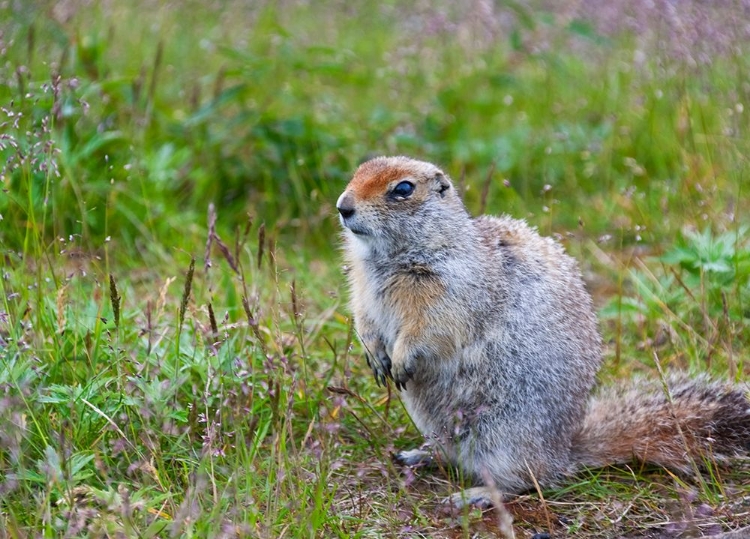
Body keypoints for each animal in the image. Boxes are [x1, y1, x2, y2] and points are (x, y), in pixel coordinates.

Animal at [338, 155, 750, 506]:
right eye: (357, 171)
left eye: (403, 189)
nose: (343, 207)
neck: (388, 259)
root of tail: (565, 451)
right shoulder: (362, 289)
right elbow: (364, 319)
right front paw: (375, 356)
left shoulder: (451, 288)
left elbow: (430, 327)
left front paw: (401, 358)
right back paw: (417, 455)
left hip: (504, 437)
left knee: (526, 480)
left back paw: (474, 495)